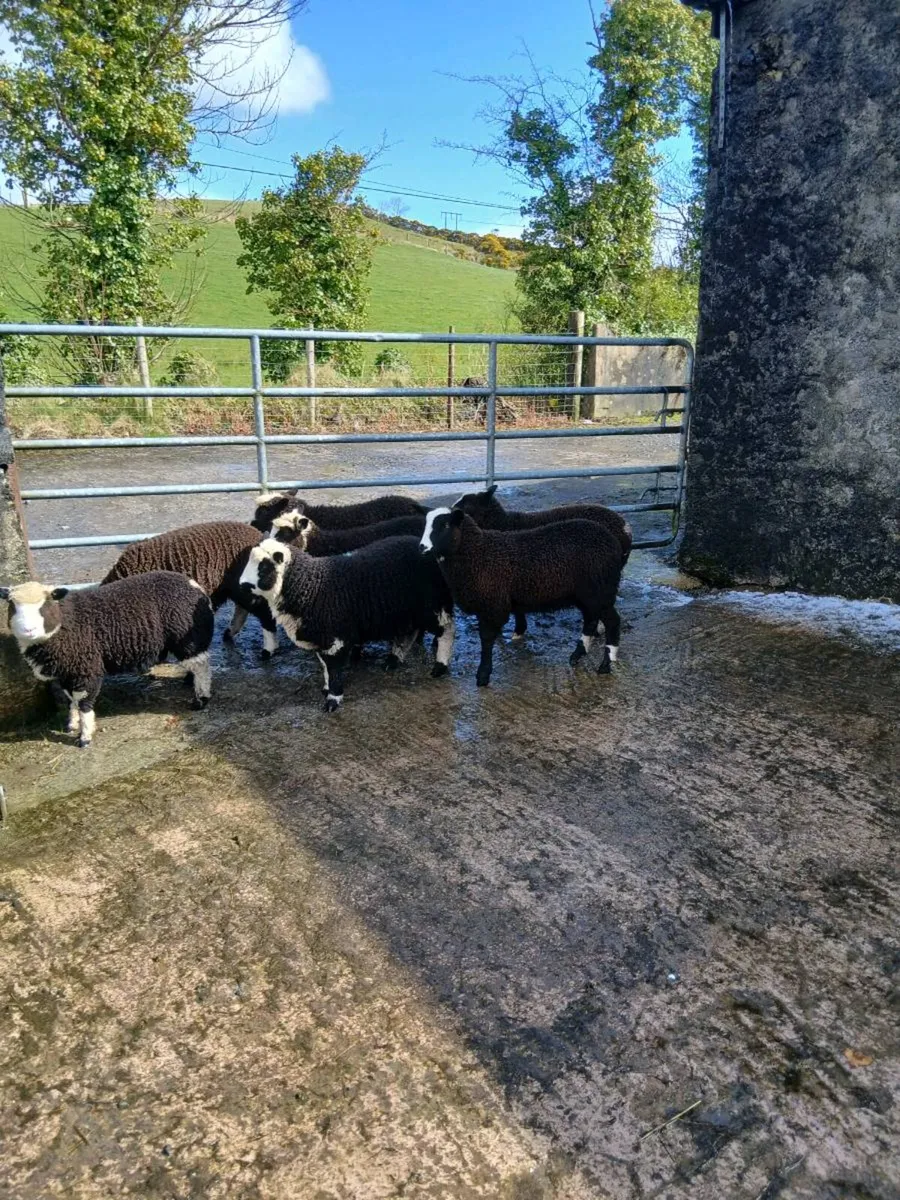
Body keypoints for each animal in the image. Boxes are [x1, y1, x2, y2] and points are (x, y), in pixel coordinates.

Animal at [1, 572, 214, 747]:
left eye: (44, 605)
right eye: (12, 606)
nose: (28, 629)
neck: (64, 623)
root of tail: (192, 584)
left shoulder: (85, 668)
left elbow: (84, 702)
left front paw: (85, 736)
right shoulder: (67, 671)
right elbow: (71, 699)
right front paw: (72, 723)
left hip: (187, 638)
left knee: (201, 666)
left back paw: (201, 699)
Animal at [239, 536, 454, 711]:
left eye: (264, 567)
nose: (242, 585)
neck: (310, 585)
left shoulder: (336, 638)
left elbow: (334, 669)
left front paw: (332, 700)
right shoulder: (323, 638)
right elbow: (325, 666)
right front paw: (327, 689)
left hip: (434, 605)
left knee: (446, 631)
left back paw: (439, 666)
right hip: (406, 611)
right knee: (408, 633)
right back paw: (393, 660)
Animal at [419, 508, 623, 688]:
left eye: (445, 525)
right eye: (425, 524)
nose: (422, 547)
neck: (478, 553)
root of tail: (611, 541)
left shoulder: (492, 604)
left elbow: (486, 639)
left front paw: (483, 675)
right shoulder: (487, 604)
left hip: (601, 591)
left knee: (612, 621)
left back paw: (606, 664)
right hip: (587, 595)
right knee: (590, 620)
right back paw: (577, 655)